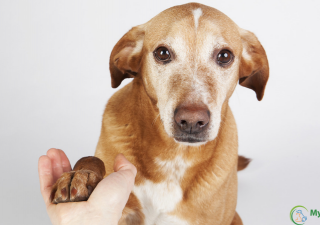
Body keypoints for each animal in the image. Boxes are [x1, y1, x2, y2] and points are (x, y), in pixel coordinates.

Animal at [50, 2, 268, 225]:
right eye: (163, 53)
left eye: (225, 56)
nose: (192, 120)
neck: (173, 158)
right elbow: (92, 160)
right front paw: (80, 175)